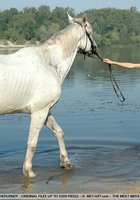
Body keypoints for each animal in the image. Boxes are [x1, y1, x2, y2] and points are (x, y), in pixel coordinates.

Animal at [0, 13, 96, 177]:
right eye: (90, 31)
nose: (95, 48)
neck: (48, 62)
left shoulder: (46, 110)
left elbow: (59, 132)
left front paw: (66, 162)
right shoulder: (39, 111)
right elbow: (32, 142)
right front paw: (29, 171)